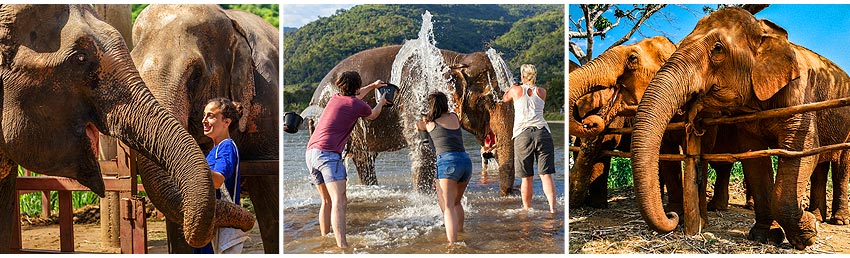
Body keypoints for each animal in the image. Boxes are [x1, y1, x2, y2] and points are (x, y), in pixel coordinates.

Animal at [304, 45, 516, 196]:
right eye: (489, 100)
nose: (506, 194)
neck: (455, 59)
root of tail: (313, 98)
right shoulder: (417, 95)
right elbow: (423, 146)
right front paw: (426, 197)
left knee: (364, 159)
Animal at [628, 7, 848, 250]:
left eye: (717, 48)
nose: (672, 216)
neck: (766, 33)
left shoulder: (799, 95)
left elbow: (802, 148)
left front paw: (807, 235)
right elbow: (754, 158)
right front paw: (764, 236)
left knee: (840, 167)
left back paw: (837, 220)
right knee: (821, 164)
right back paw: (817, 216)